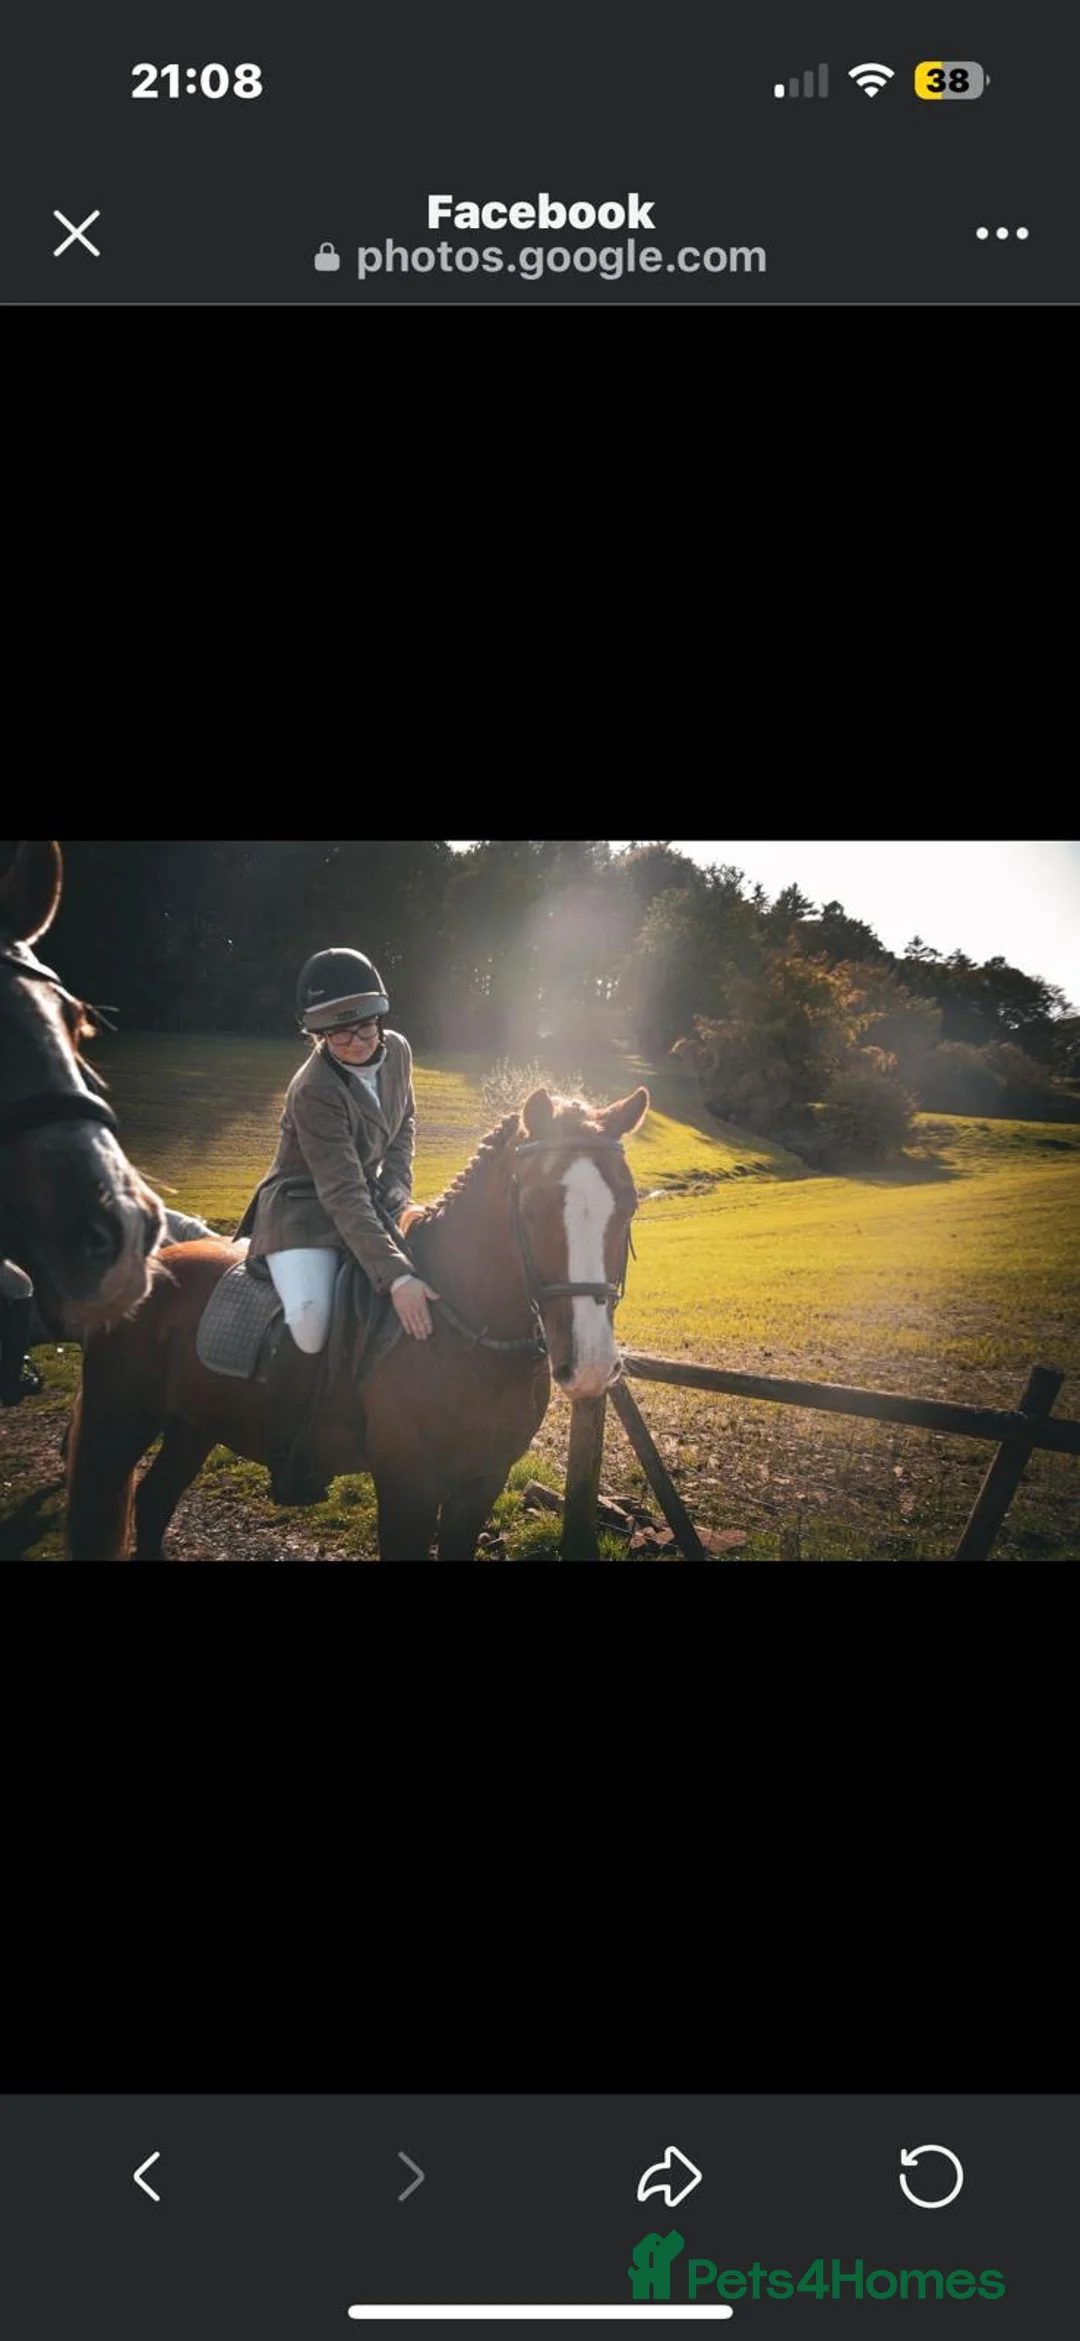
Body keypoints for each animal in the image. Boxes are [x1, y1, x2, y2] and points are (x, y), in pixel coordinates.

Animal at [63, 1081, 649, 1560]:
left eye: (628, 1205)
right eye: (530, 1207)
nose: (591, 1368)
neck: (463, 1334)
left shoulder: (481, 1484)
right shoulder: (407, 1489)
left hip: (194, 1425)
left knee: (154, 1502)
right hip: (117, 1424)